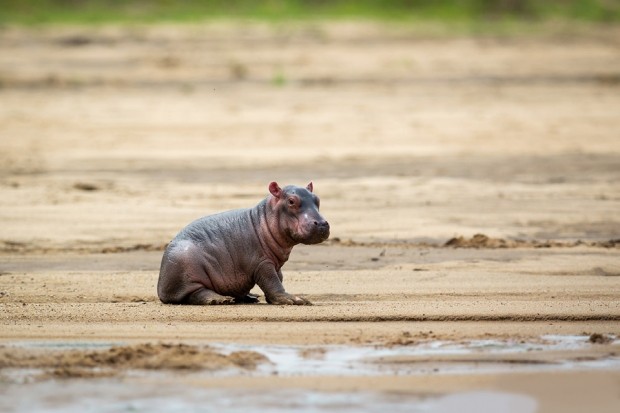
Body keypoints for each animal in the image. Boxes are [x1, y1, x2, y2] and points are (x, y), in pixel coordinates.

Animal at [156, 182, 330, 304]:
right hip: (185, 267)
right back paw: (221, 300)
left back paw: (250, 297)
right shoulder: (262, 263)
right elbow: (272, 281)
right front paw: (294, 300)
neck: (264, 219)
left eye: (317, 199)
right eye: (291, 201)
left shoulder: (276, 264)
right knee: (195, 293)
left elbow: (278, 278)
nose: (322, 223)